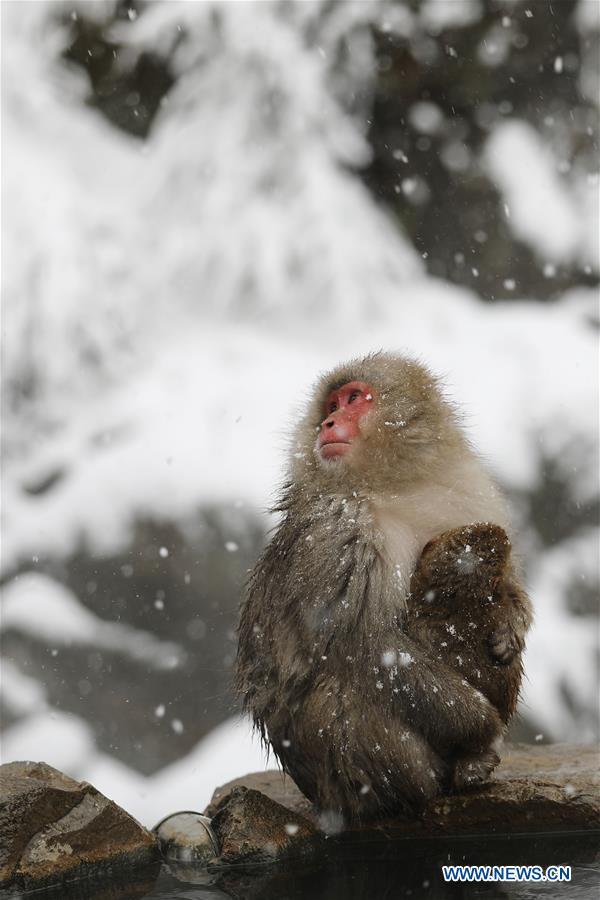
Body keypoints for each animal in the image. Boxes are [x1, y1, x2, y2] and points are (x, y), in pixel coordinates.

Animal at [236, 352, 532, 822]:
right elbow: (367, 643)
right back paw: (444, 776)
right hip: (341, 768)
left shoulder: (473, 493)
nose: (327, 422)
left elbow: (505, 577)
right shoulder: (340, 530)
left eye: (353, 398)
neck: (394, 485)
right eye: (331, 405)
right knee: (349, 690)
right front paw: (484, 726)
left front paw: (514, 624)